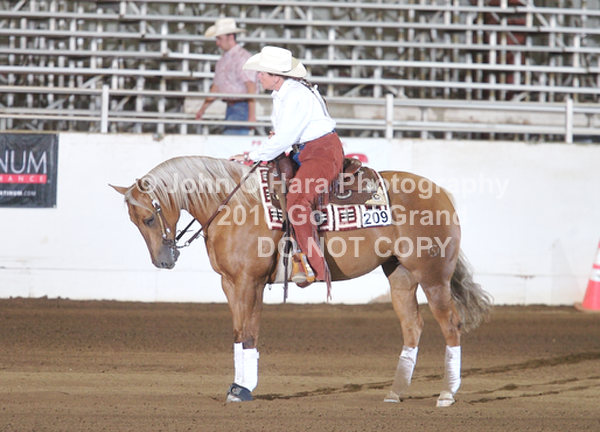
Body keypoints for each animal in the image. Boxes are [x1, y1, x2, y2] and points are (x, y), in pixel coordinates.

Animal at [111, 155, 491, 407]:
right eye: (133, 221)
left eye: (148, 217)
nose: (164, 260)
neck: (235, 205)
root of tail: (441, 192)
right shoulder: (230, 284)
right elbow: (238, 333)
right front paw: (236, 386)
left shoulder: (250, 282)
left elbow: (249, 333)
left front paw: (244, 389)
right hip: (400, 275)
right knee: (413, 326)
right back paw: (396, 392)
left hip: (433, 275)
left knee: (450, 324)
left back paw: (447, 394)